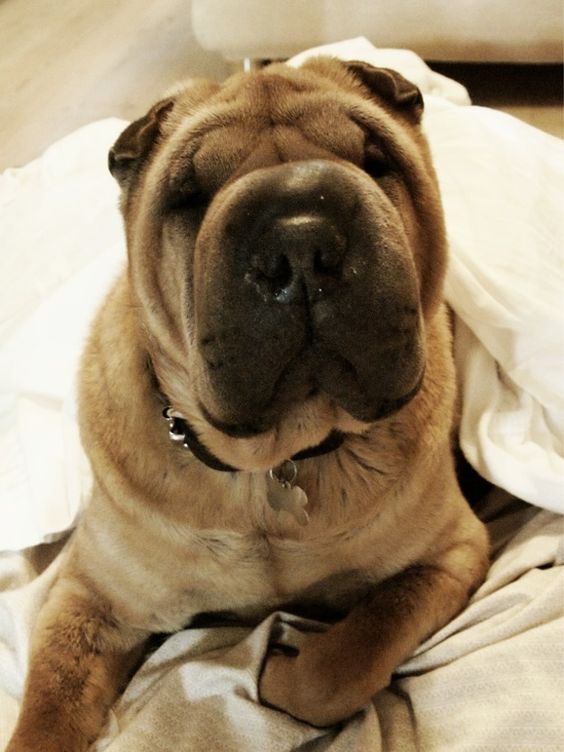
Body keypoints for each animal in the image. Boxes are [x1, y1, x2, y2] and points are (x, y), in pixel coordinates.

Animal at [6, 58, 486, 752]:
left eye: (374, 158)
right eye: (188, 194)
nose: (301, 239)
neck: (272, 472)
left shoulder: (450, 553)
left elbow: (347, 657)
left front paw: (281, 672)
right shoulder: (89, 600)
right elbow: (46, 712)